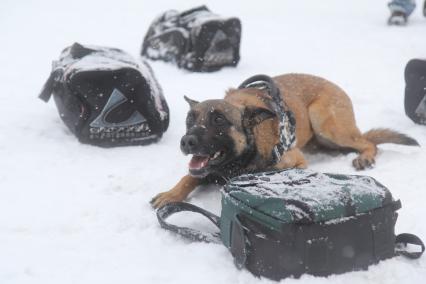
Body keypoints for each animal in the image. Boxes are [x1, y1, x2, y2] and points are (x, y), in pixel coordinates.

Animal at [151, 73, 420, 207]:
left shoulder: (296, 160)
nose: (186, 141)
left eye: (218, 120)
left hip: (326, 123)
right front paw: (172, 193)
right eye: (189, 120)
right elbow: (189, 176)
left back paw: (364, 156)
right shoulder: (204, 169)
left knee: (368, 142)